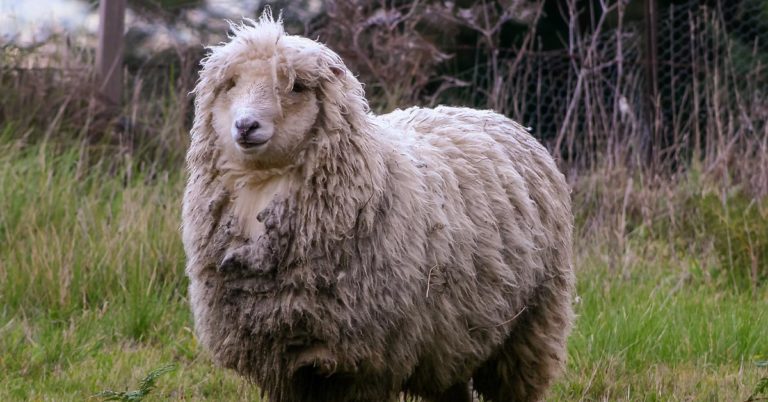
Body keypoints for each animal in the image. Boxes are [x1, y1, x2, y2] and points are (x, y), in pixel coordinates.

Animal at [182, 11, 574, 402]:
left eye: (296, 87)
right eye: (232, 84)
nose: (245, 125)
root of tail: (492, 115)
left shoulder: (365, 362)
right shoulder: (286, 363)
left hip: (530, 325)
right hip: (453, 335)